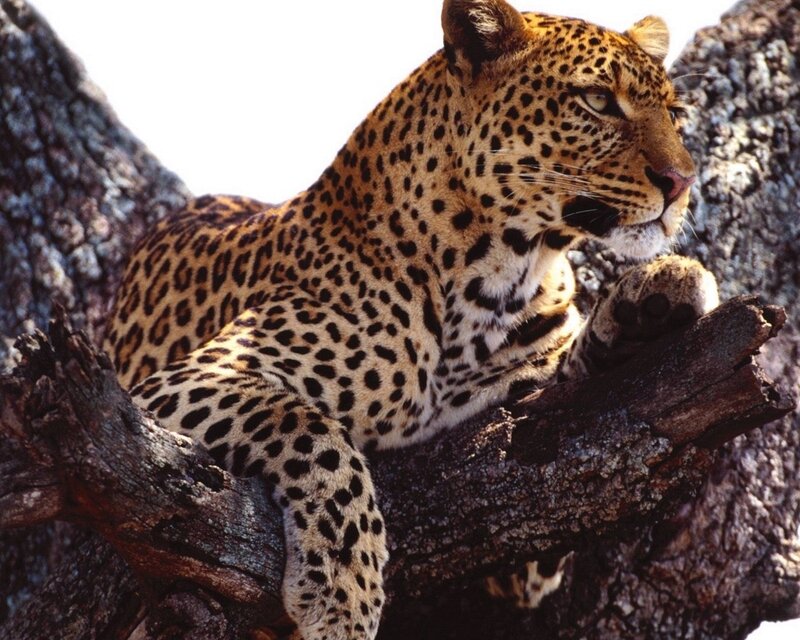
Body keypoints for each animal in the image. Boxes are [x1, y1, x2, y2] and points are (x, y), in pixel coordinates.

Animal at [104, 1, 720, 637]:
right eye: (598, 101)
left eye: (675, 114)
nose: (681, 182)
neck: (496, 277)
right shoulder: (183, 384)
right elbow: (313, 433)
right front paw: (345, 591)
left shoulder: (518, 537)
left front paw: (649, 306)